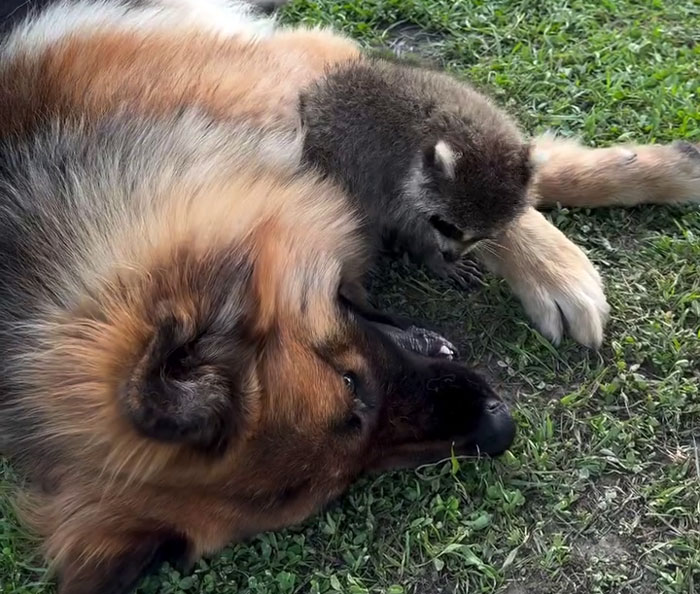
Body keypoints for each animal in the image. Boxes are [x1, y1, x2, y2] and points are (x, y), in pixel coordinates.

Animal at [300, 57, 532, 288]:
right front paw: (430, 254)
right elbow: (403, 220)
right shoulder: (391, 176)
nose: (450, 256)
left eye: (482, 236)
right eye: (447, 226)